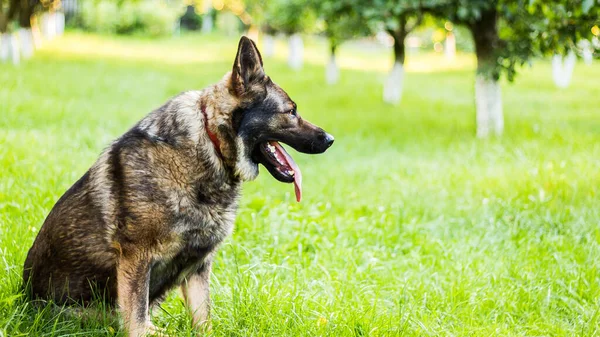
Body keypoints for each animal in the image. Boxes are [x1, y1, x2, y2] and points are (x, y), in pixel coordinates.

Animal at [22, 35, 332, 334]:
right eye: (290, 111)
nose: (329, 139)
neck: (210, 146)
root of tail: (26, 300)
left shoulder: (198, 266)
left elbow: (204, 320)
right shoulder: (137, 258)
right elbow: (136, 320)